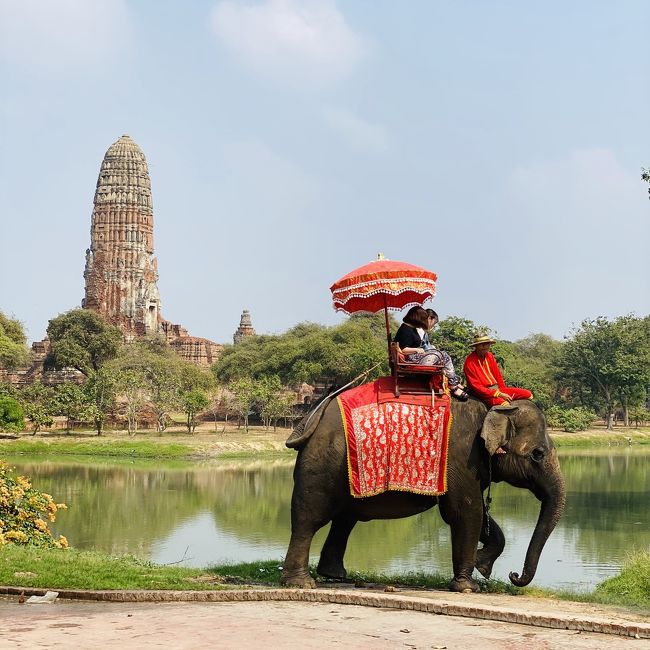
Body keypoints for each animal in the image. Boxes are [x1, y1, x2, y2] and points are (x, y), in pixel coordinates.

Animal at [280, 392, 564, 588]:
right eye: (538, 454)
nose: (514, 575)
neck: (492, 408)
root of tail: (310, 420)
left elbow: (478, 513)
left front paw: (482, 565)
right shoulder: (461, 456)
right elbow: (465, 512)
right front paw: (468, 587)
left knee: (345, 519)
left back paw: (335, 576)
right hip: (321, 465)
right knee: (310, 518)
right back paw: (301, 583)